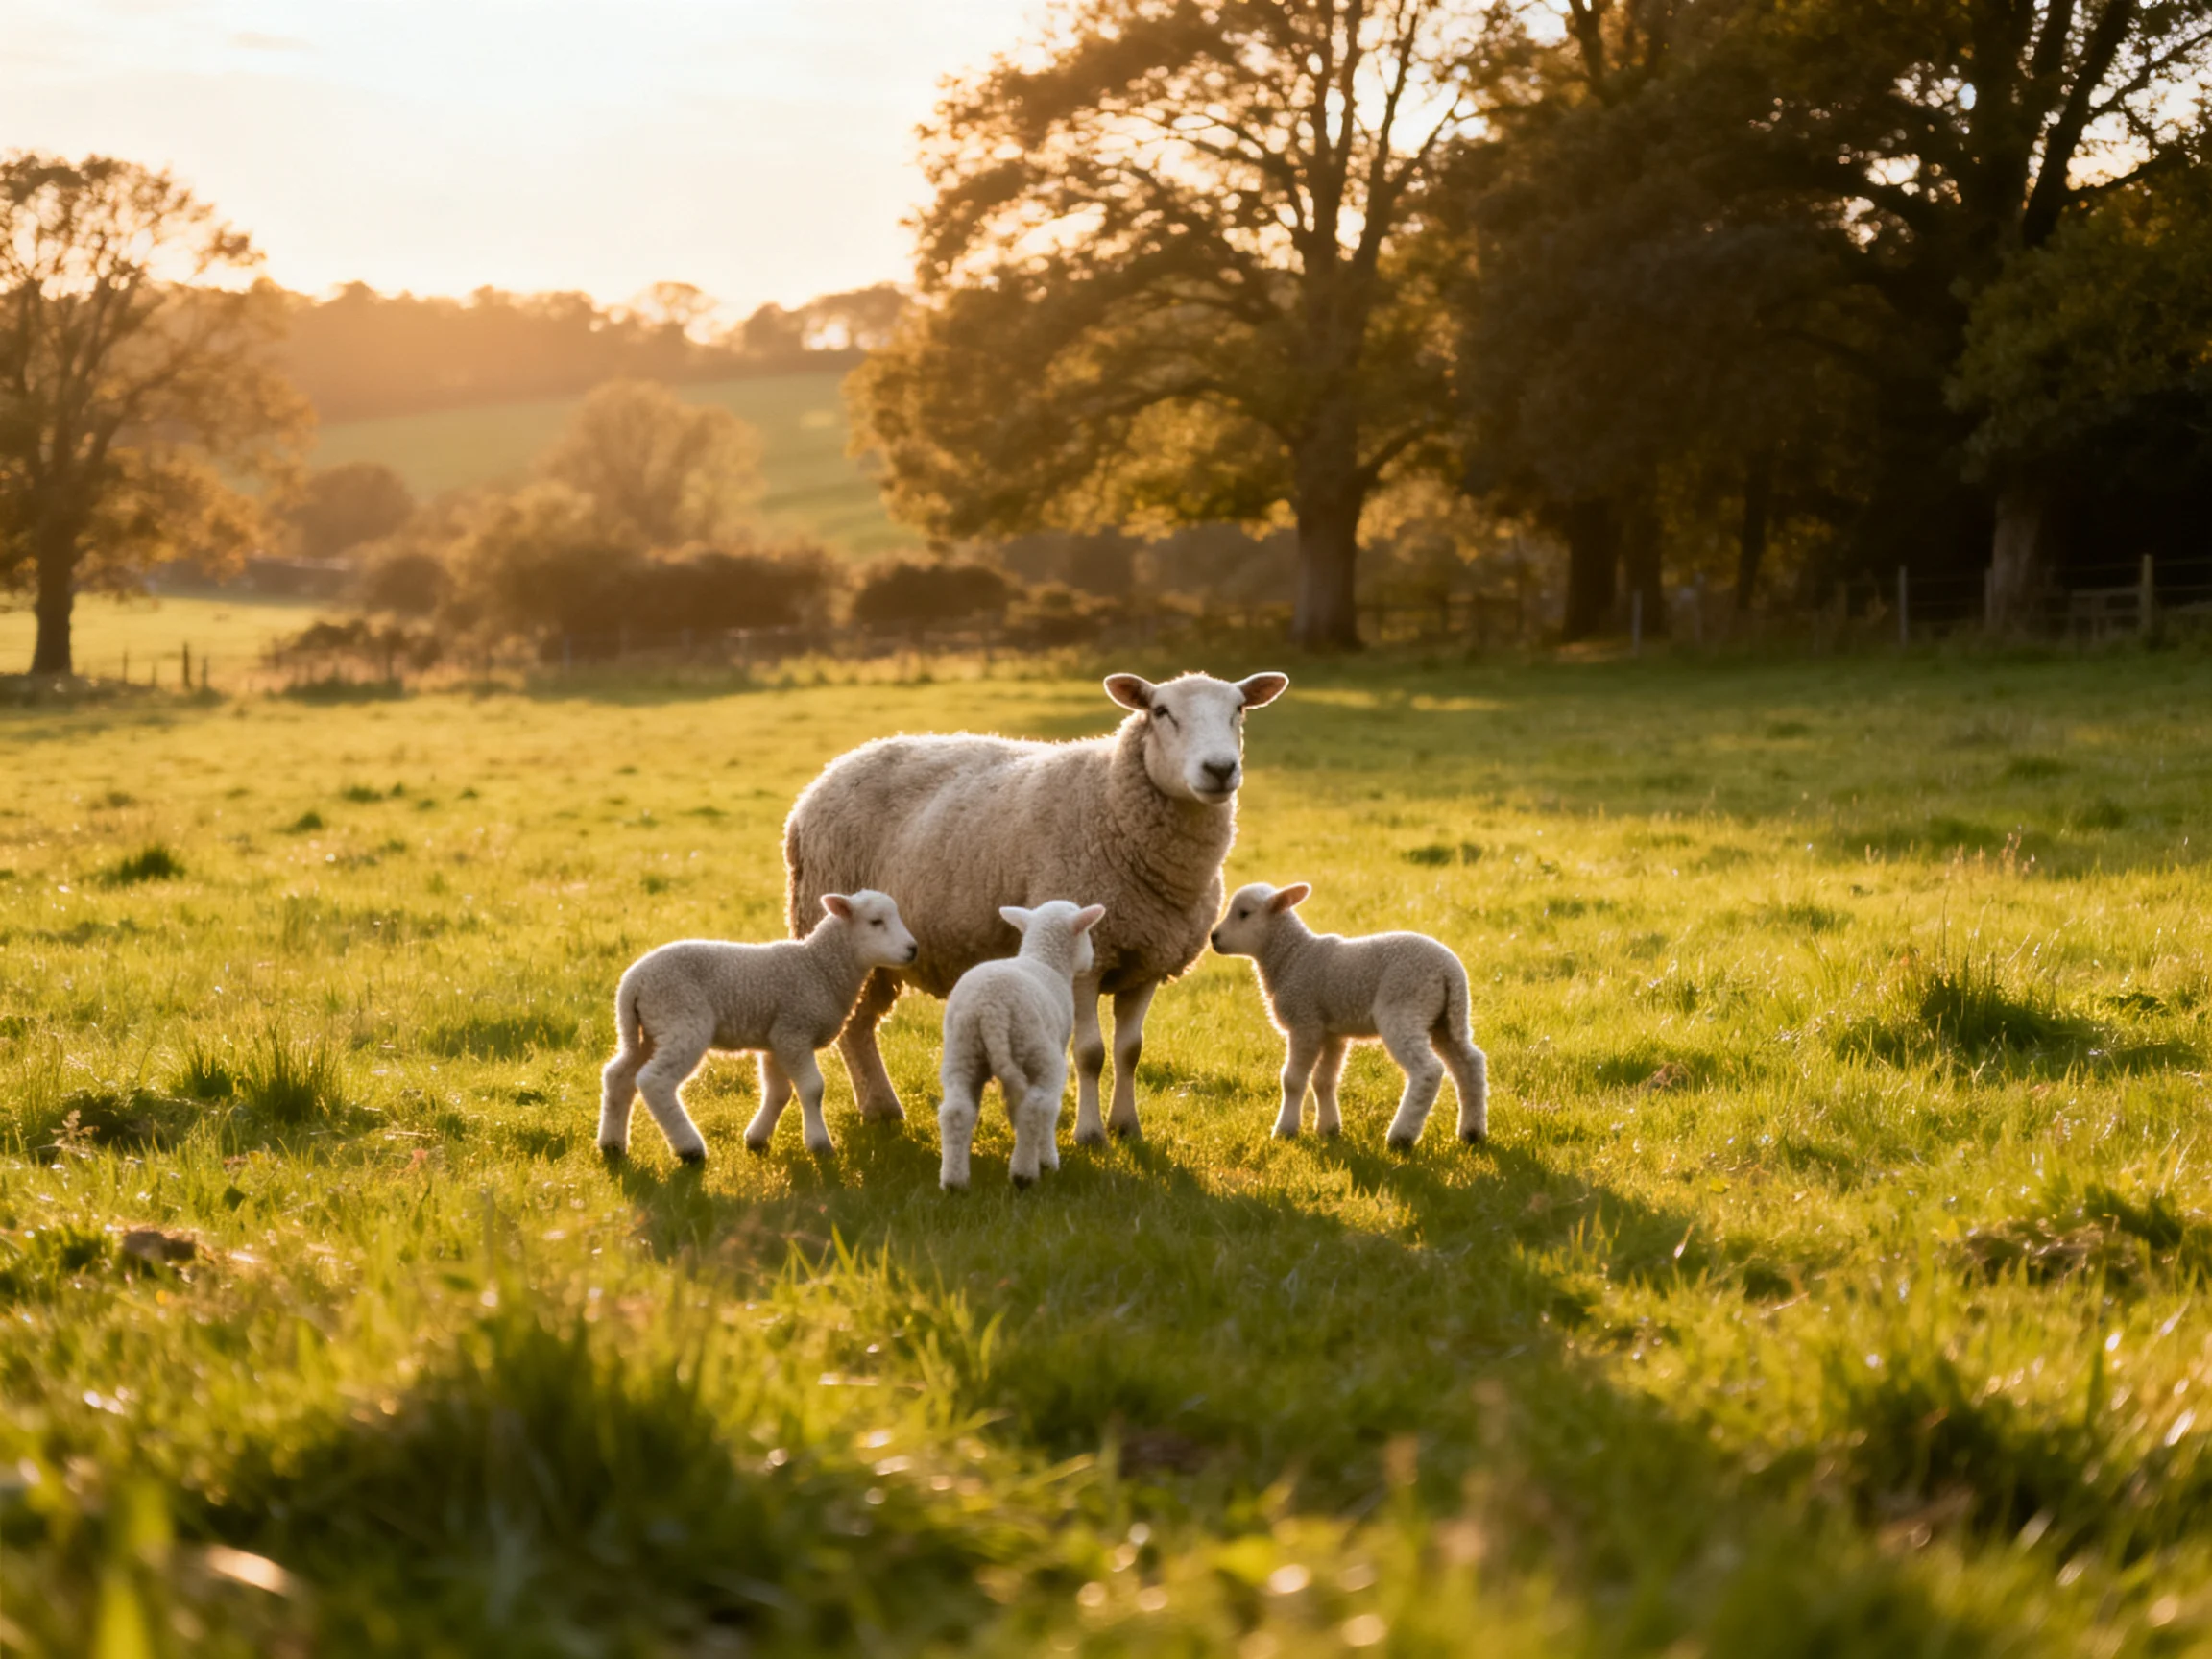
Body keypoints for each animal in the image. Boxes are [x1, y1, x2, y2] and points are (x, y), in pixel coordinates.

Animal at [598, 890, 918, 1163]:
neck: (819, 967)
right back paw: (689, 1148)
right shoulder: (794, 1031)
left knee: (618, 1075)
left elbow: (779, 1092)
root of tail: (632, 981)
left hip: (648, 1029)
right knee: (654, 1081)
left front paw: (757, 1138)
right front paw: (819, 1144)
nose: (913, 949)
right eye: (875, 921)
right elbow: (813, 1089)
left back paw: (612, 1144)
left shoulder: (776, 1039)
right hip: (681, 1020)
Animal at [784, 669, 1289, 1145]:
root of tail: (830, 771)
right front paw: (1090, 1135)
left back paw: (881, 1109)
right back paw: (880, 1107)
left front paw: (1127, 1127)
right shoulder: (1086, 961)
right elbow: (1090, 1054)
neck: (1111, 802)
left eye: (1239, 709)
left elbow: (1130, 1051)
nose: (1220, 768)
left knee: (860, 1026)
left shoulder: (1148, 960)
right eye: (1161, 712)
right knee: (853, 1025)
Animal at [937, 900, 1106, 1191]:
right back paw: (1025, 1174)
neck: (1044, 958)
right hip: (1037, 1051)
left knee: (955, 1111)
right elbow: (1042, 1113)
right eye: (1087, 934)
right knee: (1035, 1108)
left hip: (962, 1050)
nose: (1092, 959)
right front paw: (1046, 1159)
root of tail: (991, 1008)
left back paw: (954, 1182)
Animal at [1209, 881, 1489, 1149]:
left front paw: (1285, 1130)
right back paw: (1472, 1132)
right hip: (1446, 1019)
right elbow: (1324, 1080)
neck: (1292, 956)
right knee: (1470, 1064)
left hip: (1404, 1007)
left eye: (1244, 914)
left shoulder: (1305, 1021)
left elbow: (1292, 1079)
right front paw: (1329, 1129)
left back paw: (1401, 1136)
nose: (1214, 937)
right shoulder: (1332, 1033)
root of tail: (1449, 971)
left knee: (1428, 1071)